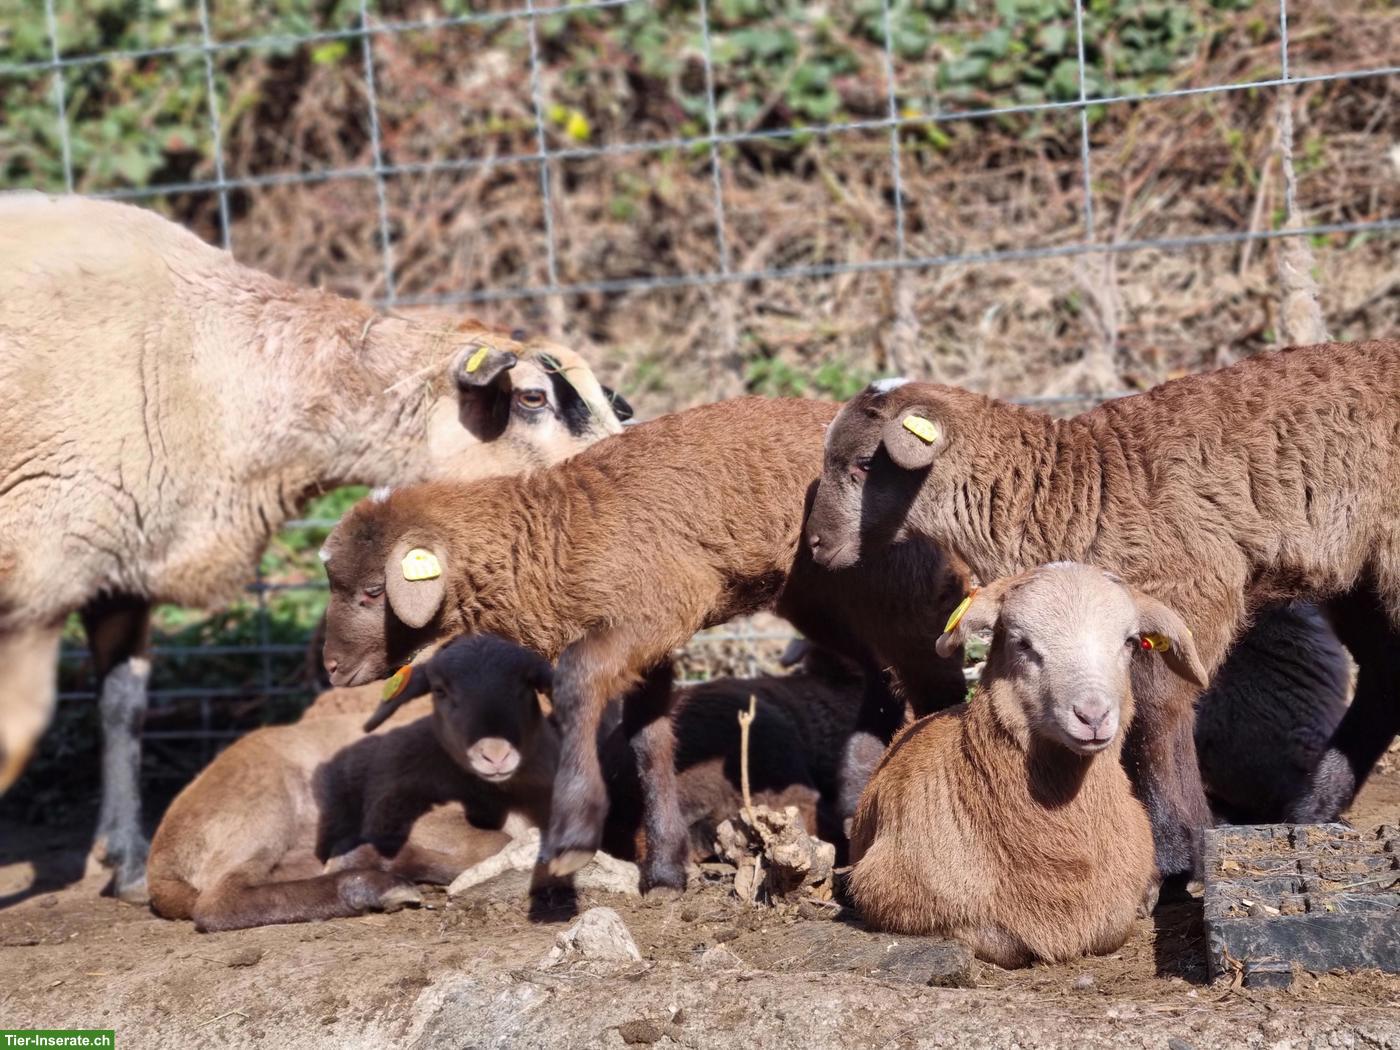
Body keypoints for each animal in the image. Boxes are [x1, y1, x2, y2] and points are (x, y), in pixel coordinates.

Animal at [318, 396, 970, 890]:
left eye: (373, 592)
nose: (332, 668)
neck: (549, 536)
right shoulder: (649, 634)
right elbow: (646, 740)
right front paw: (664, 870)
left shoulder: (656, 605)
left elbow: (577, 679)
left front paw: (573, 834)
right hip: (823, 598)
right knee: (879, 676)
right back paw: (856, 793)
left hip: (893, 589)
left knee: (933, 681)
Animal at [807, 339, 1400, 879]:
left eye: (864, 464)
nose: (814, 544)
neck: (1068, 488)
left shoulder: (1183, 594)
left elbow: (1156, 715)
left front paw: (1176, 851)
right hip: (1360, 576)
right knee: (1384, 676)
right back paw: (1312, 809)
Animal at [849, 562, 1206, 967]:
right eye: (1023, 643)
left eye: (1130, 641)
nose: (1093, 716)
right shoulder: (887, 894)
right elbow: (1000, 938)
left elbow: (1114, 926)